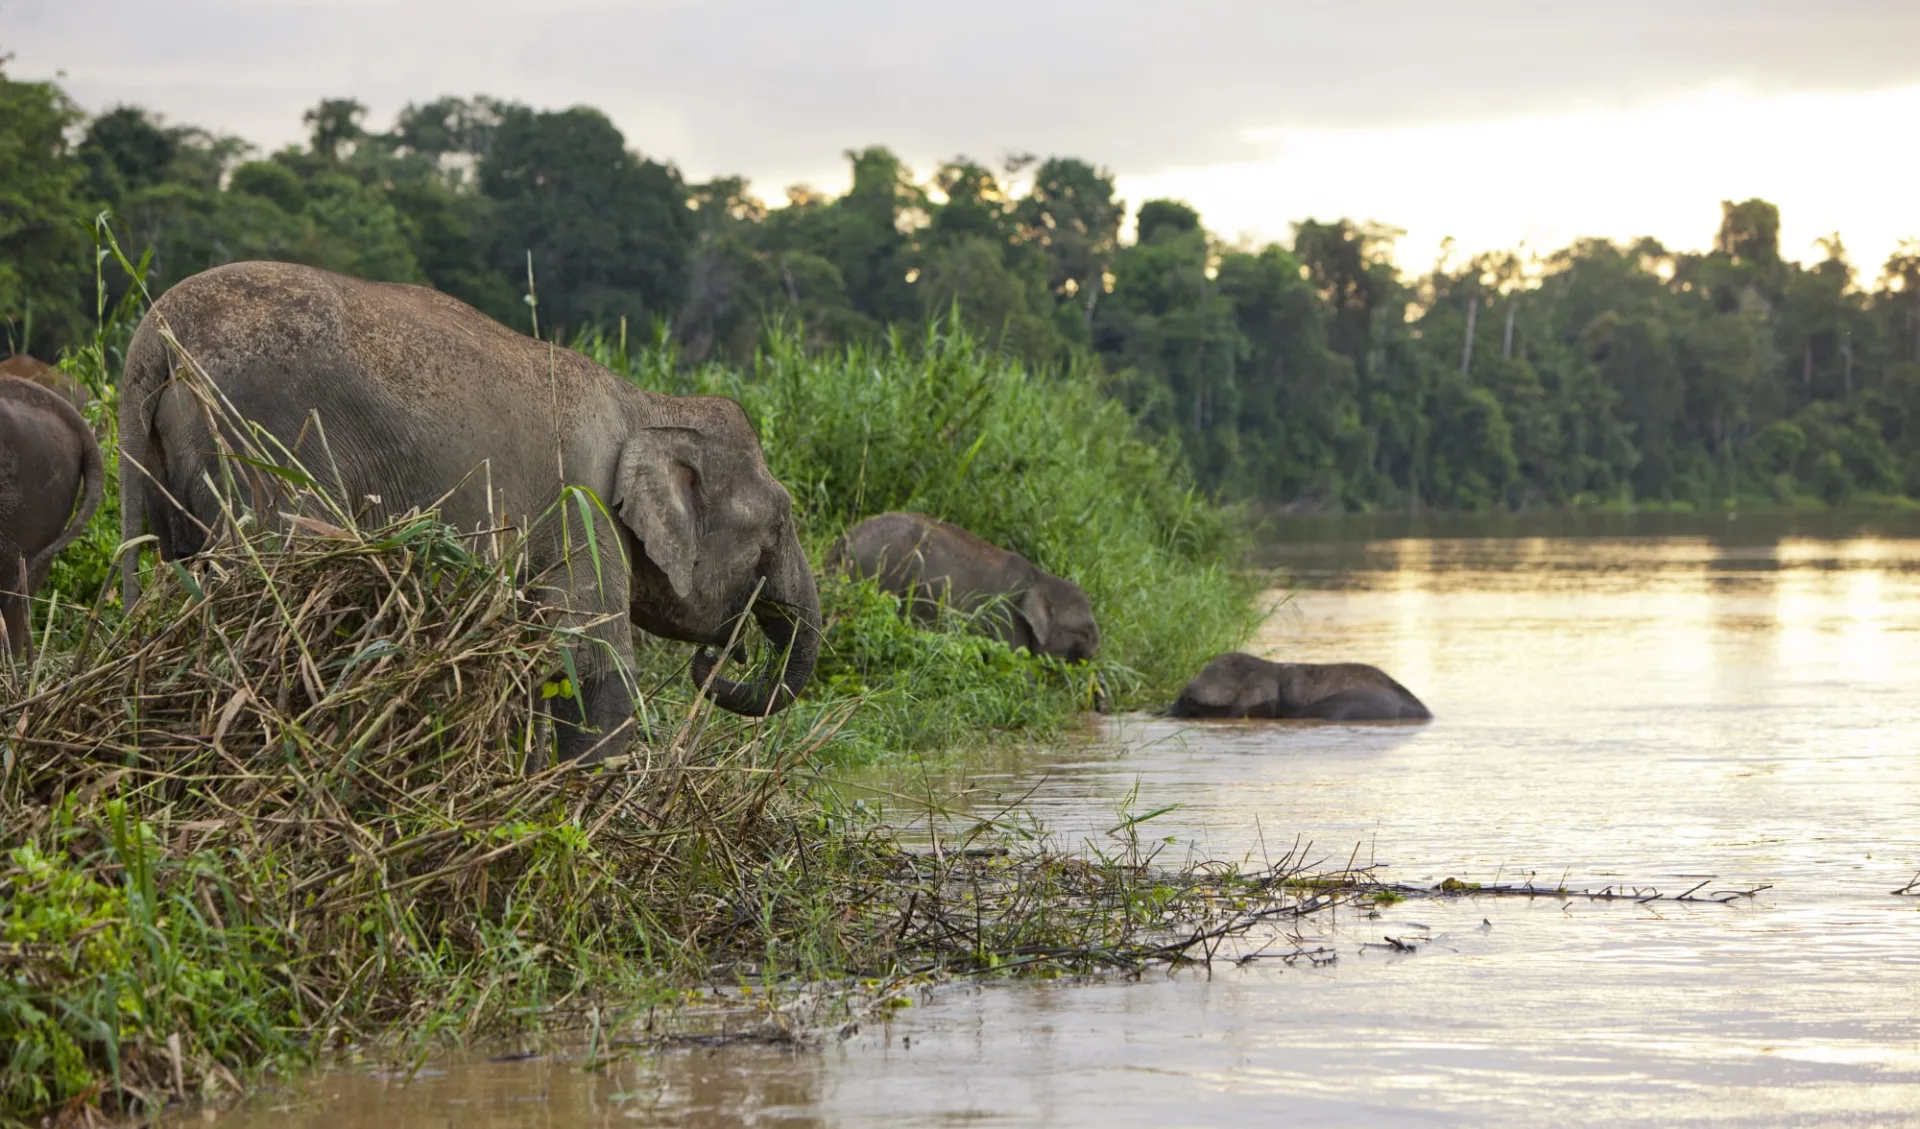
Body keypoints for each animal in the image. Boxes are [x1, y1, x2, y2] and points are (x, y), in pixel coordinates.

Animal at [118, 261, 825, 764]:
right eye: (780, 523)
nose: (722, 656)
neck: (648, 402)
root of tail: (152, 339)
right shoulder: (583, 505)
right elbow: (592, 664)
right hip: (266, 451)